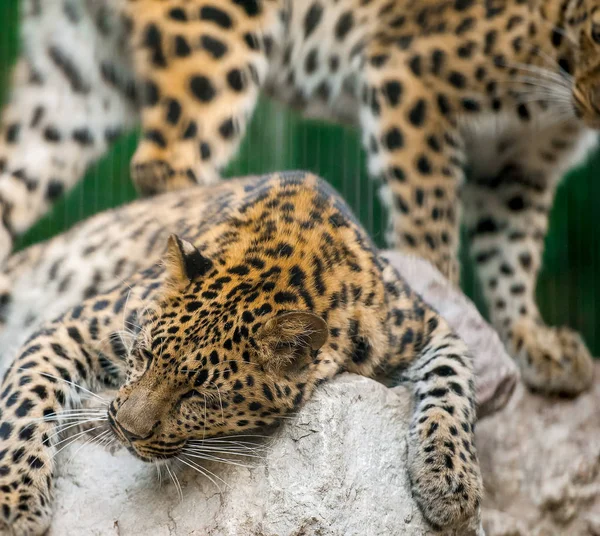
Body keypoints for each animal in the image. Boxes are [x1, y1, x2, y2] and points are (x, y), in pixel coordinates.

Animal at [0, 0, 596, 396]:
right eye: (597, 37)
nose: (592, 106)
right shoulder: (410, 80)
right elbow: (429, 222)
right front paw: (445, 290)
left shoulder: (519, 168)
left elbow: (513, 253)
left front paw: (534, 345)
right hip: (213, 34)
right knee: (165, 160)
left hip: (76, 78)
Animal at [0, 173, 482, 536]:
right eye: (145, 354)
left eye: (198, 396)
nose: (123, 430)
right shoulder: (73, 325)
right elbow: (24, 401)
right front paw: (16, 503)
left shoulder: (427, 327)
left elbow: (454, 384)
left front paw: (450, 483)